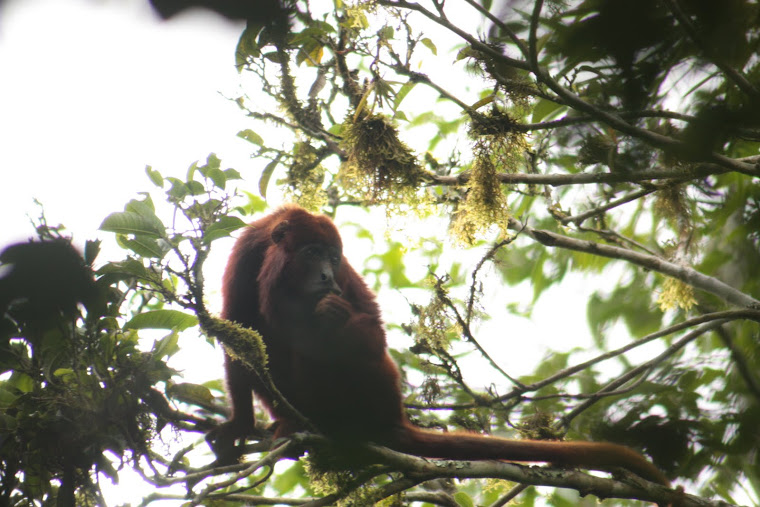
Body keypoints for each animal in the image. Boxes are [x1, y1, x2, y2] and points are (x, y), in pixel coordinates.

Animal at [212, 204, 664, 486]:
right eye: (311, 253)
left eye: (333, 257)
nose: (326, 276)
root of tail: (394, 416)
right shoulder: (246, 254)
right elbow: (236, 334)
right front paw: (239, 424)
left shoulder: (346, 278)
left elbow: (372, 331)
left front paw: (330, 316)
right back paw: (295, 424)